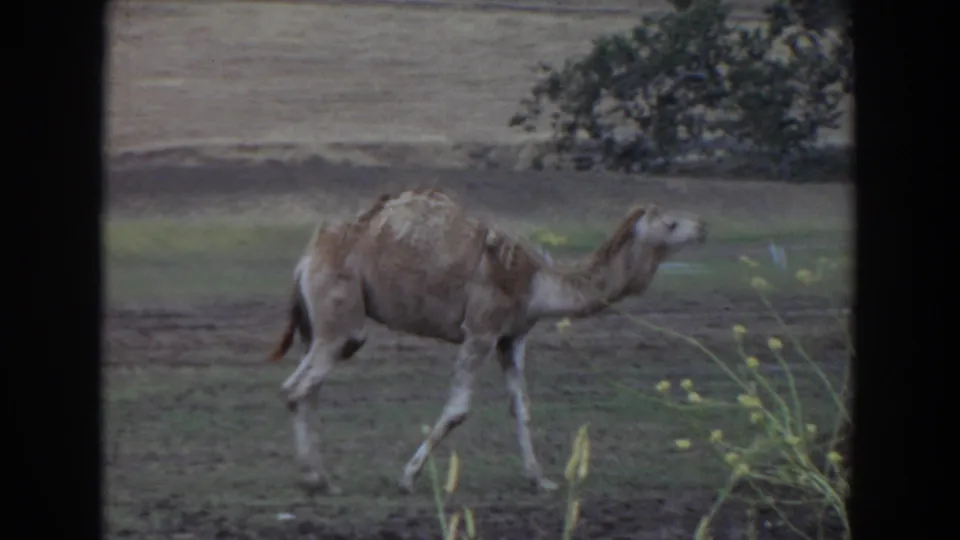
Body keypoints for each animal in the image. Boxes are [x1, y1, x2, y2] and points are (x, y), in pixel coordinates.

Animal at [267, 188, 707, 495]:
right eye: (671, 224)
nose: (702, 226)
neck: (538, 282)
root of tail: (305, 261)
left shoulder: (510, 338)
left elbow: (521, 406)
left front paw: (540, 480)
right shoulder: (480, 328)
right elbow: (458, 408)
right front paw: (407, 478)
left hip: (321, 328)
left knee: (303, 389)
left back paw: (317, 477)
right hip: (341, 320)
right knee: (298, 387)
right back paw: (319, 481)